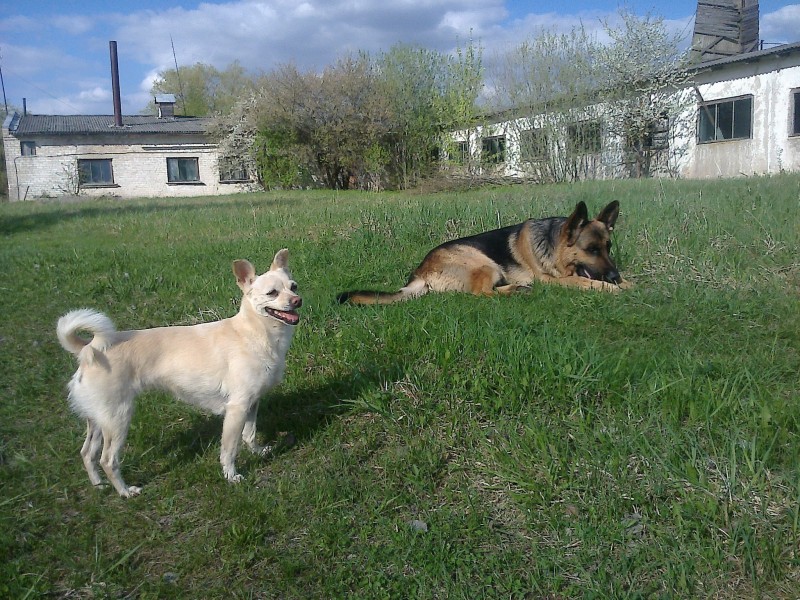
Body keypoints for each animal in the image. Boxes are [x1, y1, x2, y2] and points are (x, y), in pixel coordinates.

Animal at [56, 249, 301, 497]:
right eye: (272, 293)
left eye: (294, 286)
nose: (297, 300)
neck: (255, 333)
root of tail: (89, 349)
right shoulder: (237, 408)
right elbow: (230, 448)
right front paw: (231, 476)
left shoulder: (251, 403)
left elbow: (249, 434)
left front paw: (258, 452)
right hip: (118, 418)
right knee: (107, 460)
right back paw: (125, 492)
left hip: (98, 419)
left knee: (87, 453)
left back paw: (98, 485)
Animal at [337, 200, 629, 305]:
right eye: (591, 250)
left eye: (608, 248)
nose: (614, 276)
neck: (552, 242)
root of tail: (420, 272)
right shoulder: (551, 279)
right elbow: (580, 281)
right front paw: (610, 288)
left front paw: (627, 283)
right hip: (485, 263)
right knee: (481, 294)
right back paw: (514, 291)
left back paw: (517, 288)